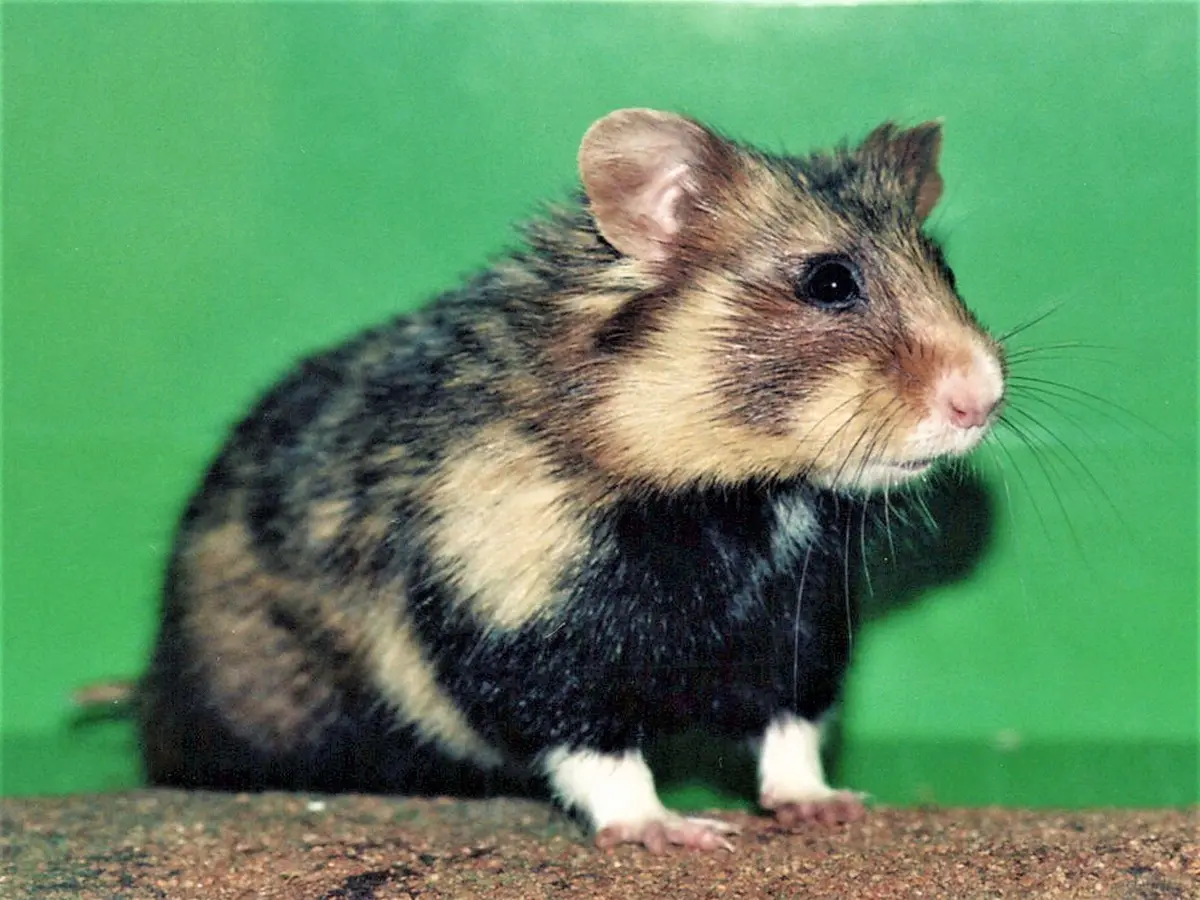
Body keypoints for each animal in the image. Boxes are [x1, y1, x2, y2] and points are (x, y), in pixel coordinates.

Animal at [139, 108, 1005, 852]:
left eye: (945, 267)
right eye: (829, 281)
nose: (984, 399)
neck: (742, 494)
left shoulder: (802, 617)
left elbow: (789, 727)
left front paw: (829, 806)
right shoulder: (518, 618)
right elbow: (591, 744)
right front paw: (675, 832)